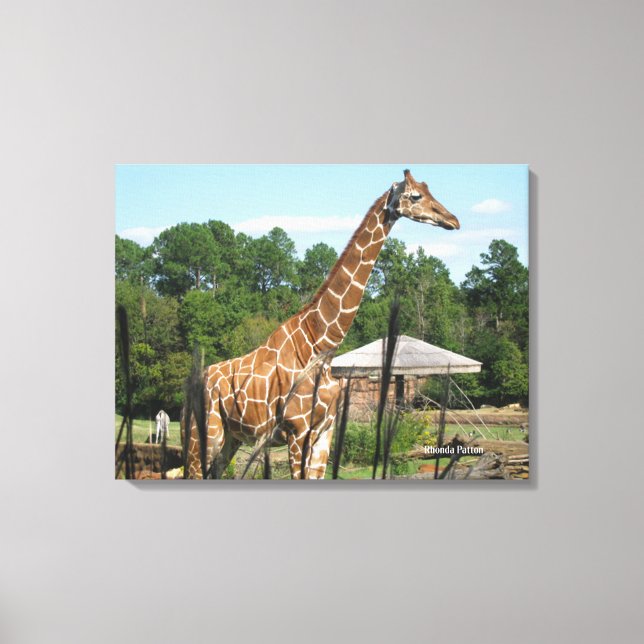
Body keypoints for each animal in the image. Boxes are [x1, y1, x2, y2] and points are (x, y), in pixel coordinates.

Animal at [182, 169, 460, 480]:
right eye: (415, 196)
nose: (453, 220)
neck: (321, 343)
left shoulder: (325, 432)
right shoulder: (298, 431)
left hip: (231, 437)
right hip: (202, 435)